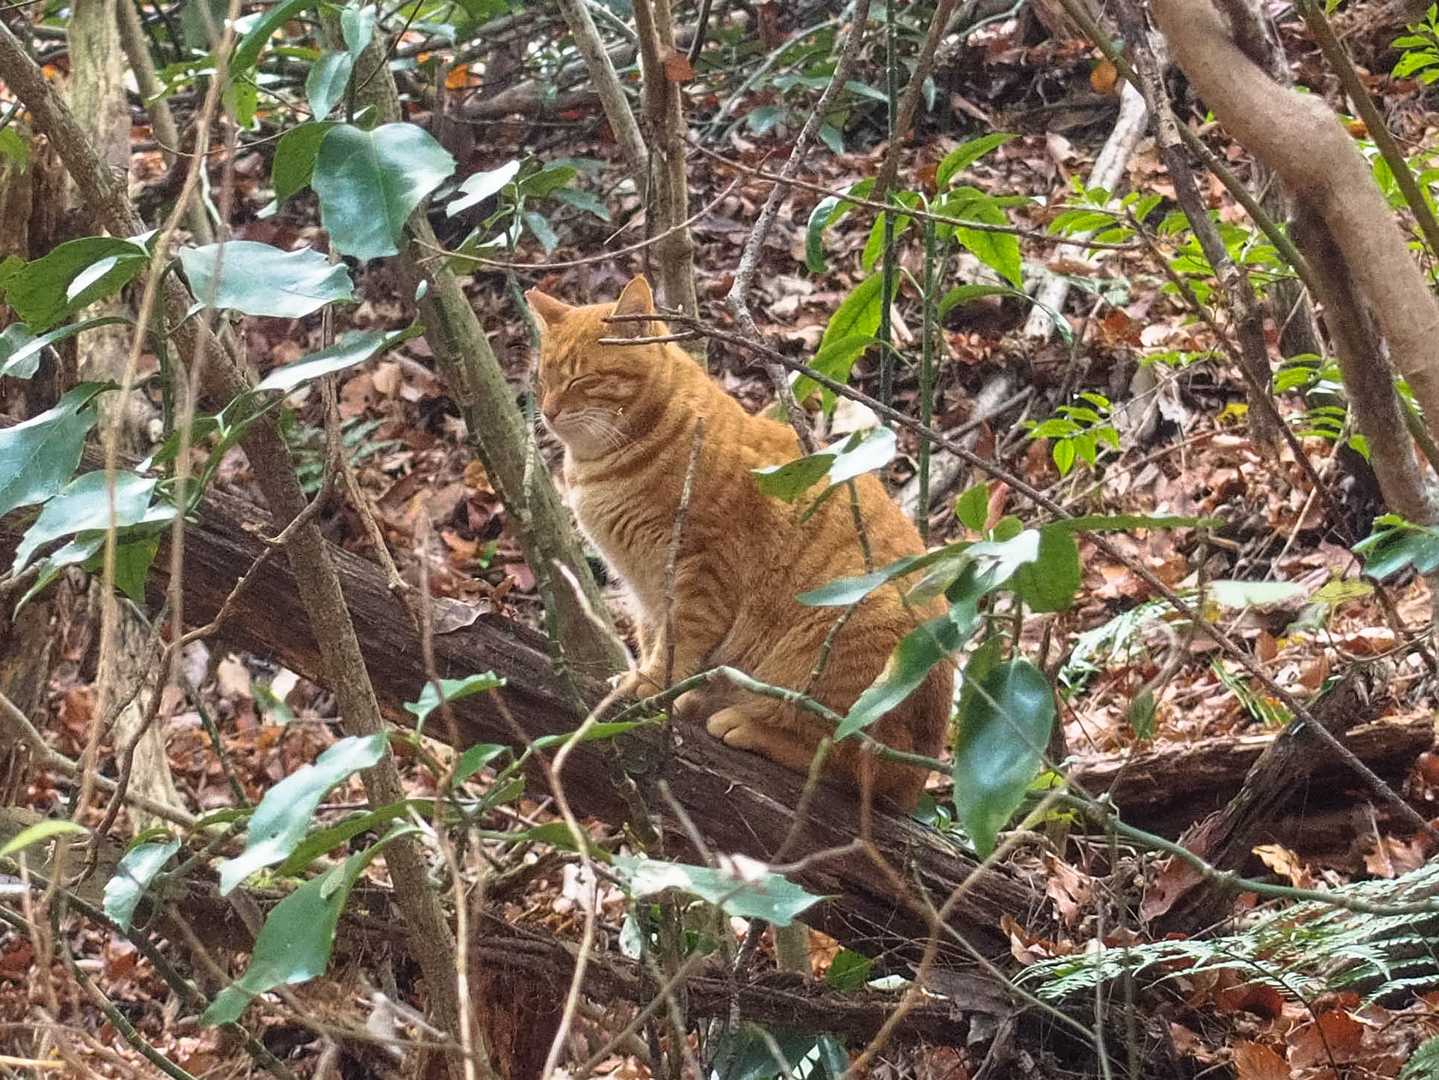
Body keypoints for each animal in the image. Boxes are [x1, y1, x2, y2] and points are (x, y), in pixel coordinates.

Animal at [526, 275, 951, 810]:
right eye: (542, 380)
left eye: (581, 380)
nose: (547, 412)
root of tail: (925, 772)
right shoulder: (644, 586)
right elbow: (654, 637)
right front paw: (658, 684)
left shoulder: (699, 571)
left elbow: (678, 640)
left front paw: (650, 684)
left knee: (850, 760)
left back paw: (748, 726)